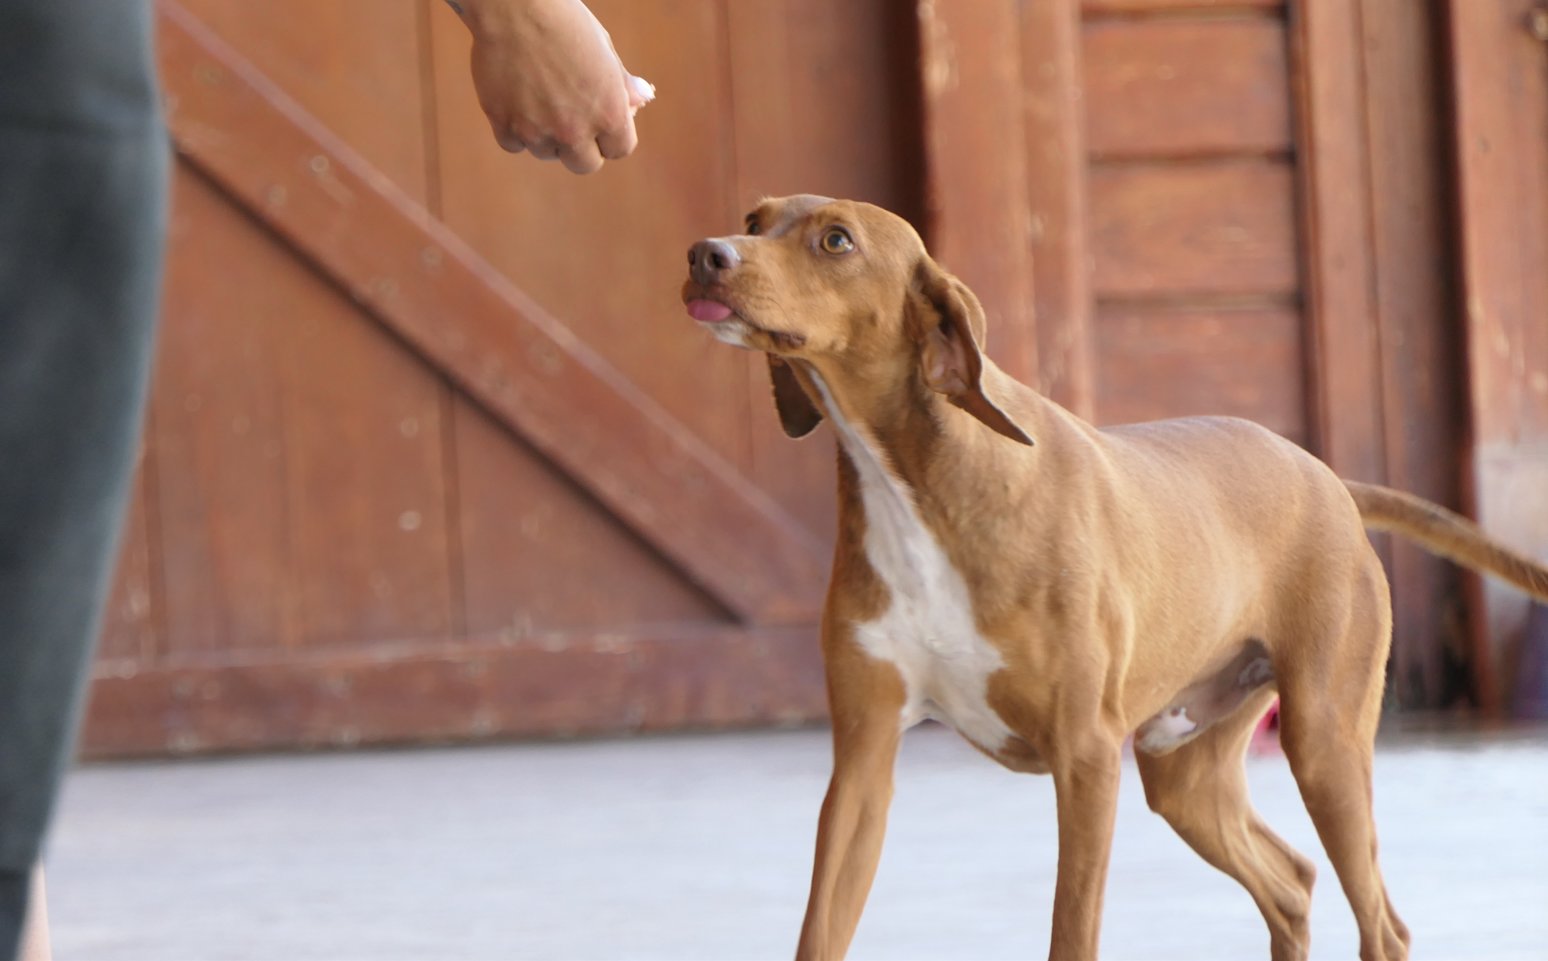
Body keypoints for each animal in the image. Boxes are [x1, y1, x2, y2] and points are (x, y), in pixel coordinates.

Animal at [680, 195, 1548, 961]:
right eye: (755, 218)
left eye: (836, 240)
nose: (704, 254)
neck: (921, 482)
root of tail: (1329, 478)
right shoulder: (863, 763)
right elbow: (821, 929)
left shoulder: (1086, 759)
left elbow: (1073, 930)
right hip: (1184, 774)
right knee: (1293, 881)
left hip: (1323, 744)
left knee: (1381, 923)